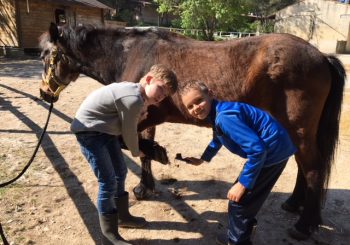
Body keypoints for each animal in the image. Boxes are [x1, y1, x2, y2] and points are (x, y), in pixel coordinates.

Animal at [37, 23, 344, 239]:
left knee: (313, 168)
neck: (132, 55)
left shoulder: (141, 116)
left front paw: (148, 176)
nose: (44, 94)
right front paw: (147, 182)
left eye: (46, 56)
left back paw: (304, 226)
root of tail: (321, 56)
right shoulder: (148, 118)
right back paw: (293, 204)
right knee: (303, 166)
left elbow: (134, 147)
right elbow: (141, 151)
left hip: (299, 129)